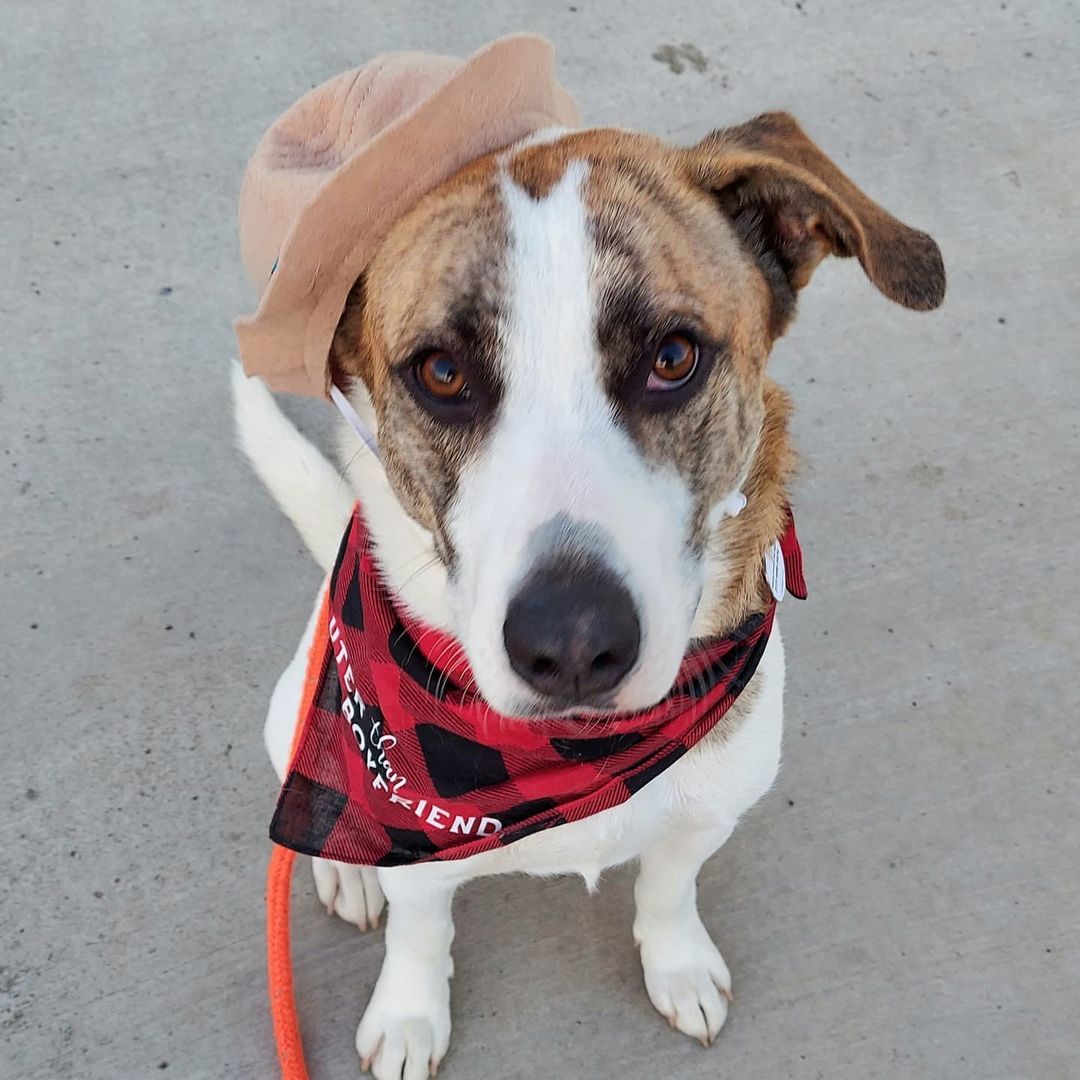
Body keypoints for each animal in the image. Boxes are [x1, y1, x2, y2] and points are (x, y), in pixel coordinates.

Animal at [234, 111, 937, 1080]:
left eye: (673, 357)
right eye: (442, 373)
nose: (570, 642)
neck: (570, 758)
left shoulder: (706, 812)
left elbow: (669, 890)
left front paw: (678, 965)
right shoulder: (417, 846)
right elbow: (420, 932)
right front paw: (409, 1016)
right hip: (295, 707)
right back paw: (340, 864)